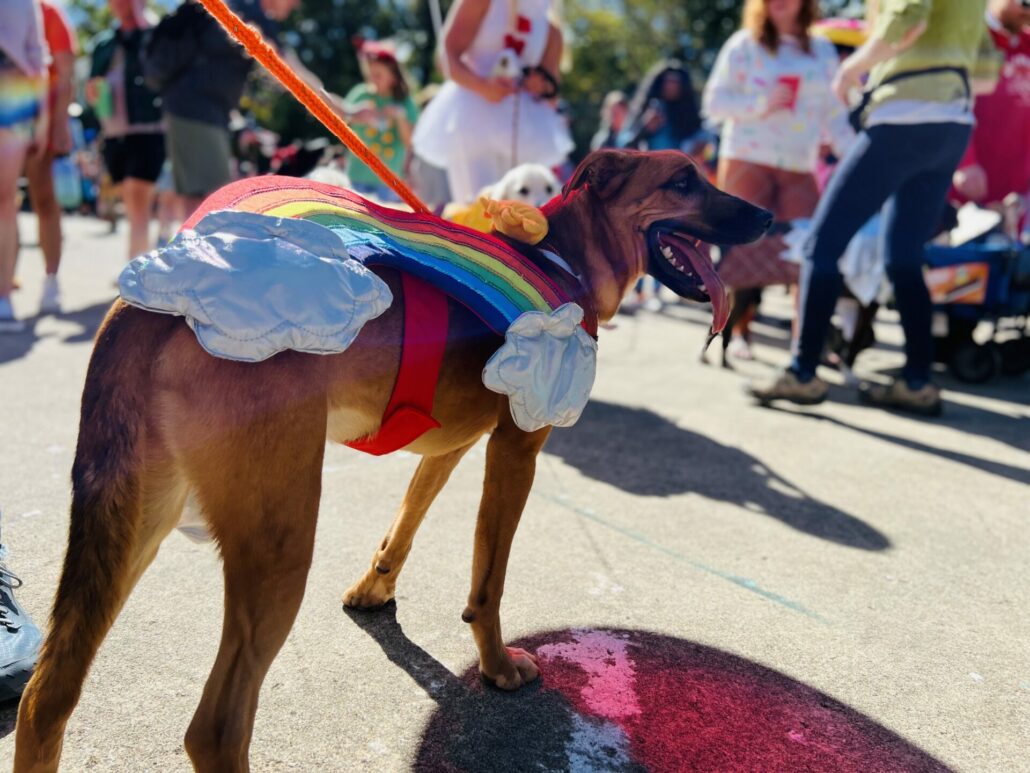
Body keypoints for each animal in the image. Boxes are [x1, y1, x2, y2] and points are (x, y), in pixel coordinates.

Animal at [12, 148, 770, 770]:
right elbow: (489, 577)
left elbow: (406, 520)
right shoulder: (517, 448)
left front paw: (375, 591)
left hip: (129, 525)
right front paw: (496, 667)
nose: (768, 215)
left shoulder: (452, 446)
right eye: (683, 181)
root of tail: (144, 309)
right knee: (216, 729)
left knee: (45, 700)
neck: (563, 260)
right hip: (276, 545)